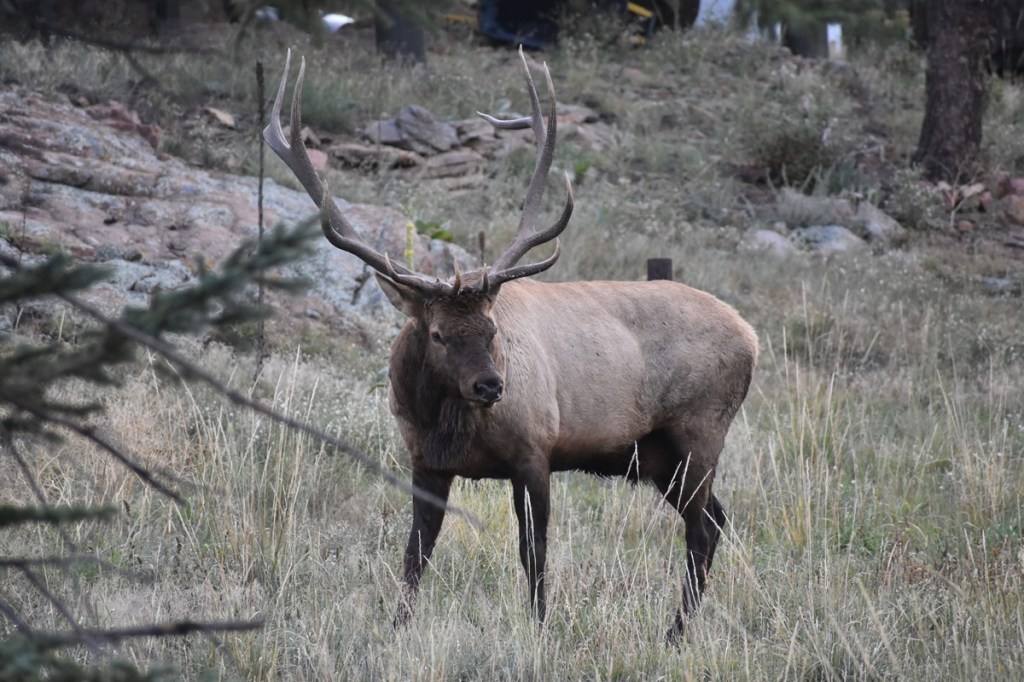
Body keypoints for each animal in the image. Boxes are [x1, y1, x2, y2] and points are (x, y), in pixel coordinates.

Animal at [264, 48, 758, 639]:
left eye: (492, 328)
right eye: (437, 333)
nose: (491, 386)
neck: (448, 426)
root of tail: (751, 335)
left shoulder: (535, 451)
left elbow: (534, 552)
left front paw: (542, 629)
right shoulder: (425, 461)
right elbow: (415, 552)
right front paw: (396, 628)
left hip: (699, 433)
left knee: (702, 529)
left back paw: (675, 633)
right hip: (657, 457)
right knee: (716, 519)